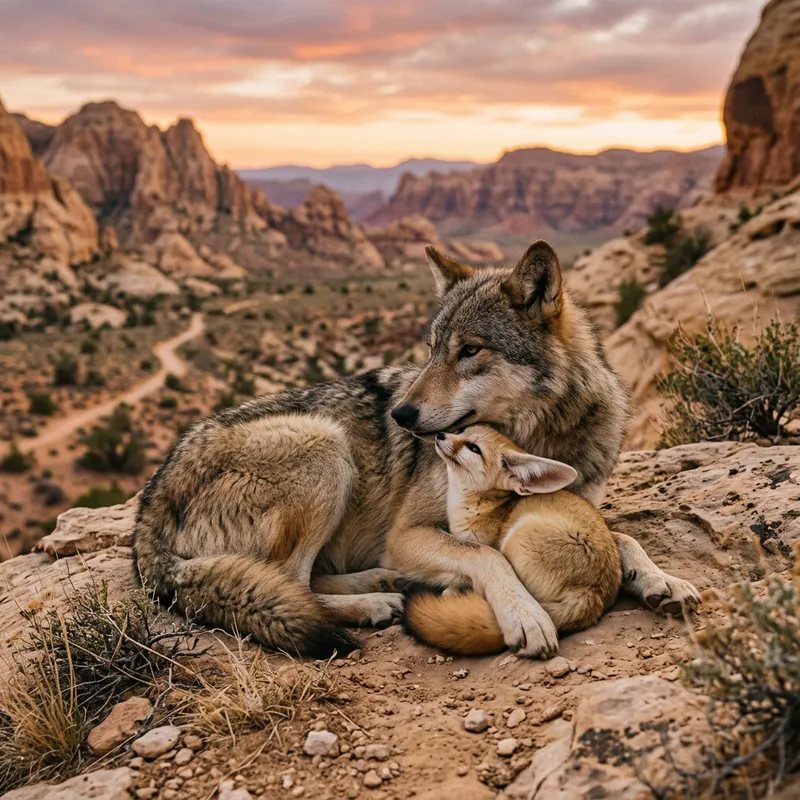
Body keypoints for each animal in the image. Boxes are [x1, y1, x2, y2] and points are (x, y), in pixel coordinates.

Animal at [405, 425, 622, 655]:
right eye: (462, 431)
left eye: (474, 448)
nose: (441, 435)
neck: (482, 506)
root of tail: (592, 595)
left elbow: (473, 576)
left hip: (516, 536)